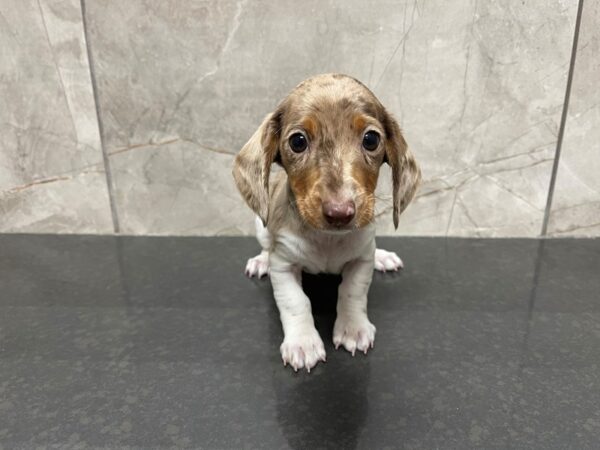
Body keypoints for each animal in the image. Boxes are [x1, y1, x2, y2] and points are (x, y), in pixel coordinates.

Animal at [232, 73, 420, 372]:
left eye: (371, 139)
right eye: (298, 141)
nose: (340, 212)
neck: (327, 240)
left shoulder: (360, 260)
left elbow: (353, 292)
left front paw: (353, 328)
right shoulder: (283, 265)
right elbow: (296, 301)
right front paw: (303, 343)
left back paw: (383, 257)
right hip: (260, 226)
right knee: (265, 245)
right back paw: (260, 260)